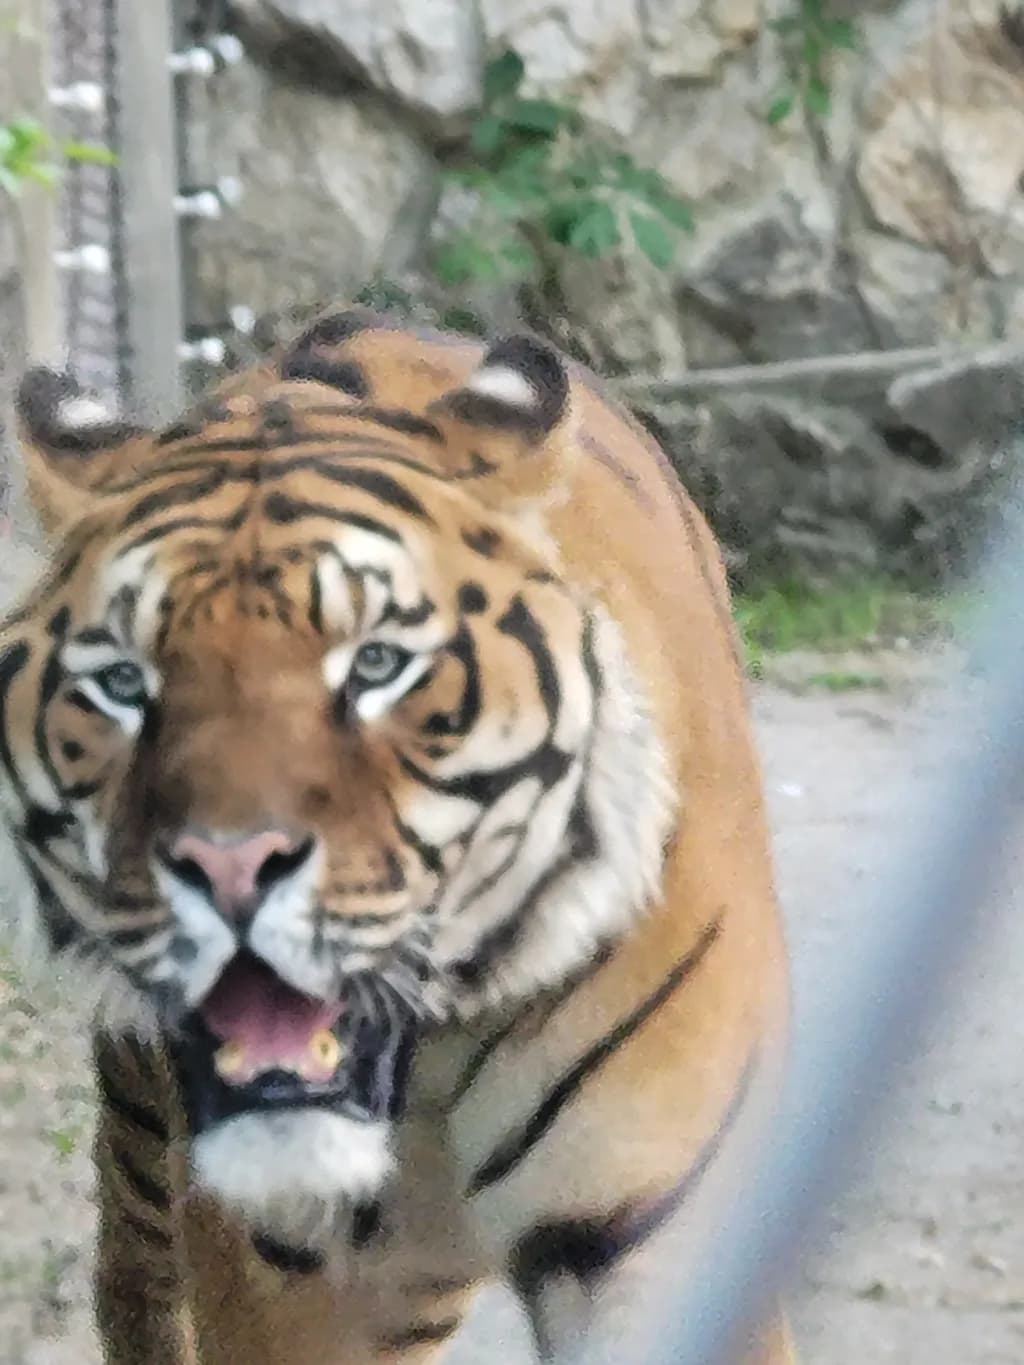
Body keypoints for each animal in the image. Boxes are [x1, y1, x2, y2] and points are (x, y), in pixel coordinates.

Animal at [0, 307, 794, 1365]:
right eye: (125, 681)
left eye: (376, 664)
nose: (228, 865)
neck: (431, 1058)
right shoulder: (288, 1281)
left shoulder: (655, 1229)